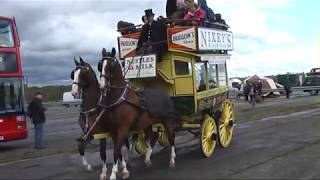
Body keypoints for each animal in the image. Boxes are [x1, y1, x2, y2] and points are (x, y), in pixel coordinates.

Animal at [99, 47, 180, 180]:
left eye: (110, 66)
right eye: (100, 65)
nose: (102, 86)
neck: (119, 99)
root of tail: (164, 95)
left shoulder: (123, 129)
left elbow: (116, 151)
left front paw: (113, 174)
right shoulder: (113, 131)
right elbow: (118, 152)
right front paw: (124, 170)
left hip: (167, 120)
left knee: (171, 137)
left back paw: (172, 160)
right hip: (148, 123)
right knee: (153, 136)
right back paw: (147, 158)